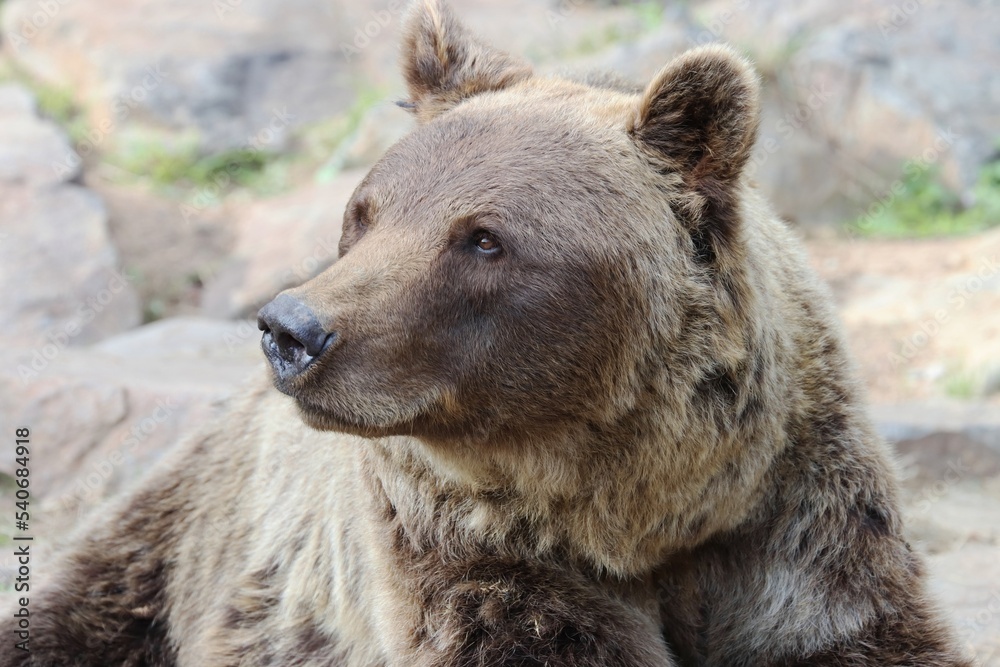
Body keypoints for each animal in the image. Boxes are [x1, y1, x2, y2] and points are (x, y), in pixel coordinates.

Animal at [1, 1, 973, 665]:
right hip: (196, 540)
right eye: (365, 212)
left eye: (483, 238)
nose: (292, 329)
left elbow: (852, 630)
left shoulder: (795, 515)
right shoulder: (466, 537)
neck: (641, 502)